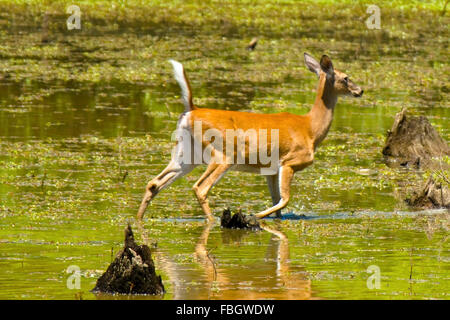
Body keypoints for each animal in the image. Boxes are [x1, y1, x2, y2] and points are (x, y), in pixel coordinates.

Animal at [137, 53, 362, 222]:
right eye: (345, 77)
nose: (360, 90)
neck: (310, 129)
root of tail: (191, 110)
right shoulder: (290, 162)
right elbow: (285, 199)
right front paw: (256, 215)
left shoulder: (271, 170)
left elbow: (277, 203)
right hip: (223, 154)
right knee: (200, 188)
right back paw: (213, 221)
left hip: (186, 154)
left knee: (154, 183)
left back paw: (138, 219)